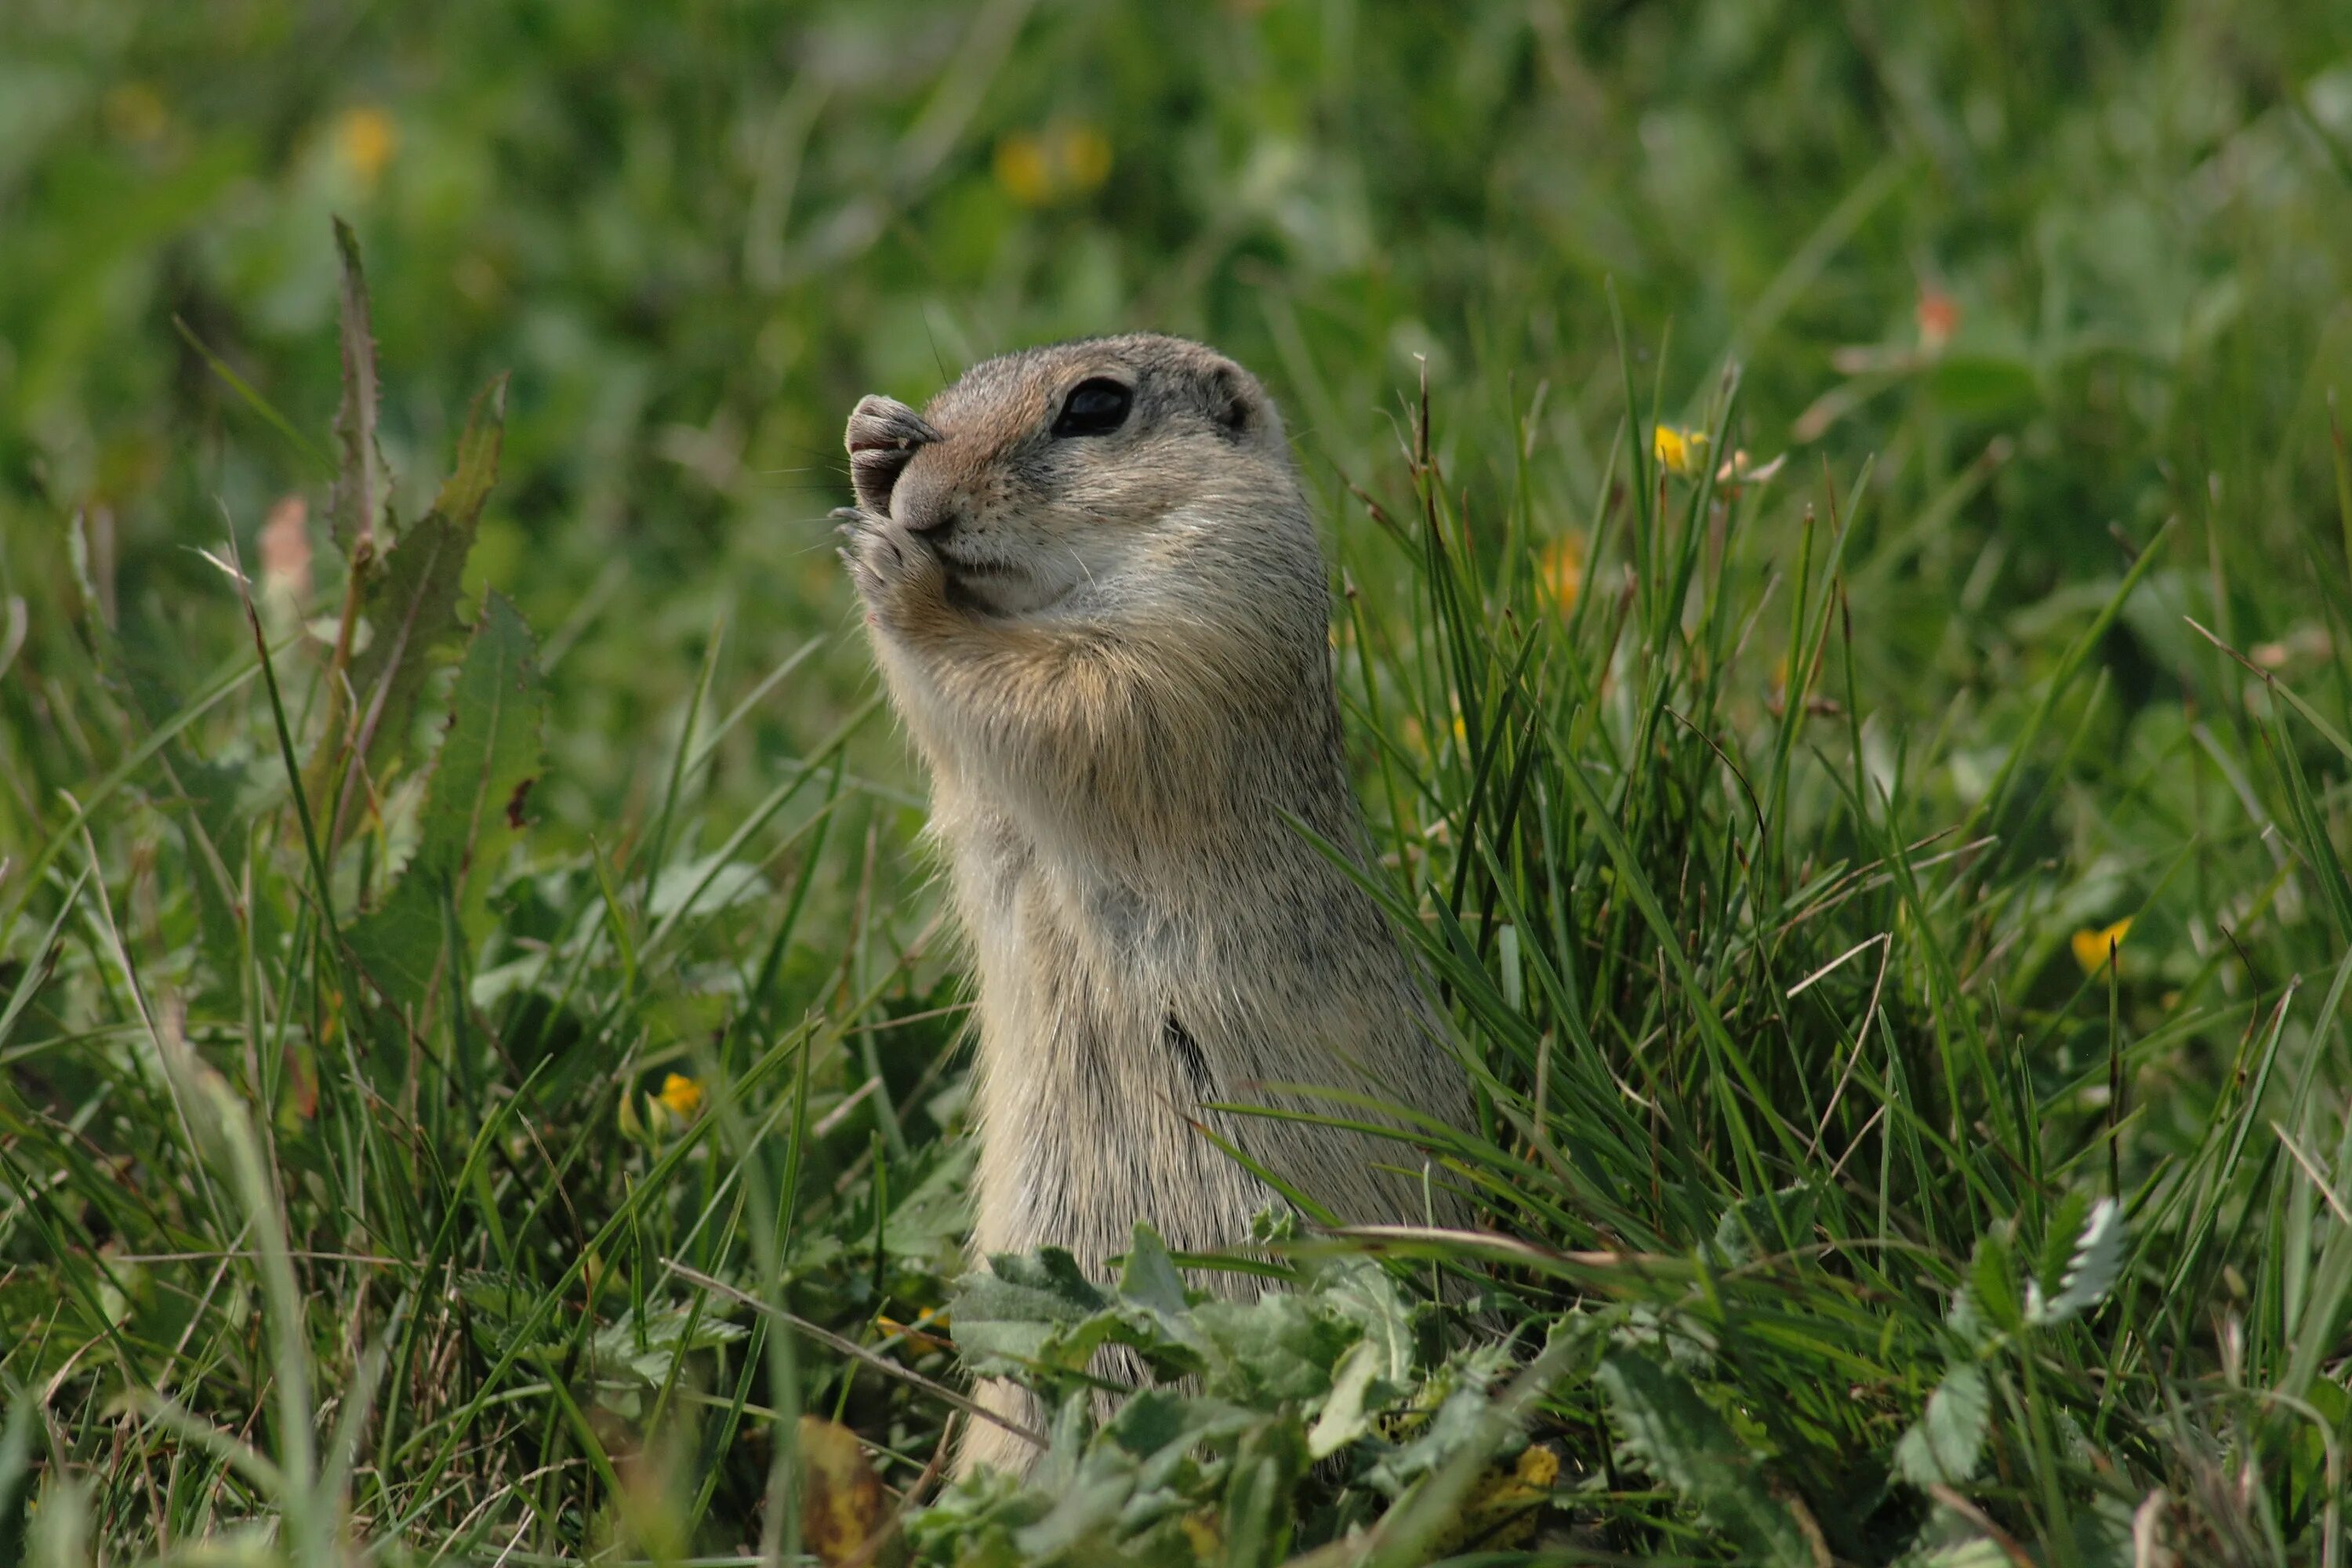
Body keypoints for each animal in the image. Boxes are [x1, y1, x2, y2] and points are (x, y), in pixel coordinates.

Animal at [842, 338, 1468, 1476]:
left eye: (1096, 406)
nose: (920, 499)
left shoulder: (1209, 614)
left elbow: (1077, 699)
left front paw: (897, 573)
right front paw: (871, 447)